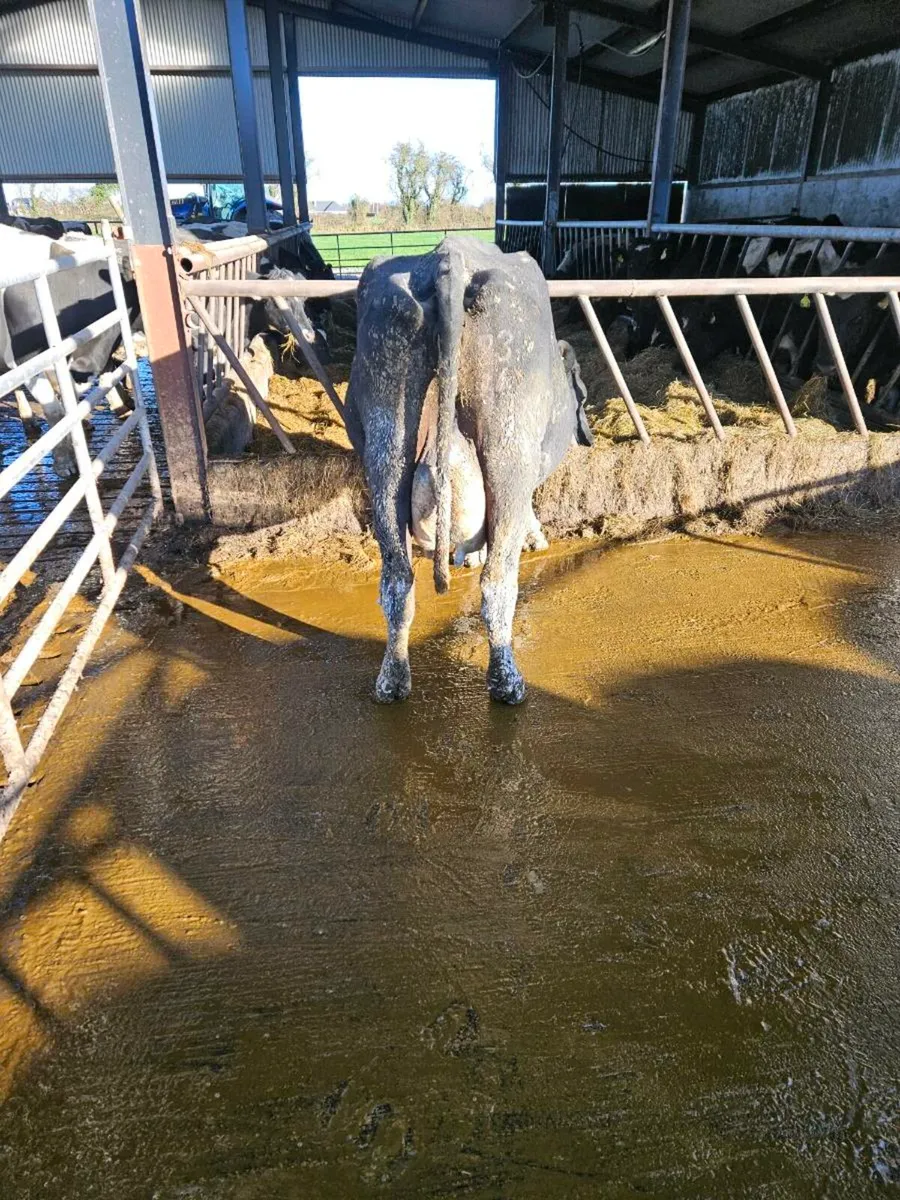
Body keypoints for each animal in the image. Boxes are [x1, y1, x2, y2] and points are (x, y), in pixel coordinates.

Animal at [345, 237, 593, 705]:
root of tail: (447, 258)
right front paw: (533, 538)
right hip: (508, 440)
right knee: (498, 580)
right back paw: (507, 683)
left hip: (387, 438)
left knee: (397, 580)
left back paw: (392, 681)